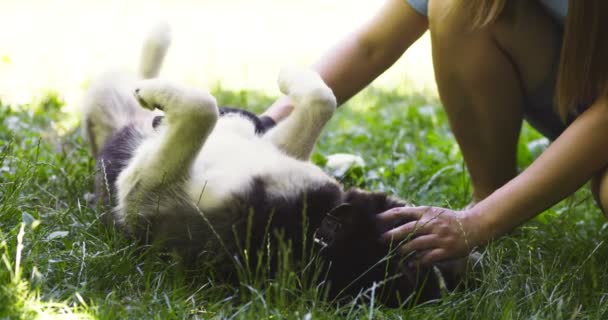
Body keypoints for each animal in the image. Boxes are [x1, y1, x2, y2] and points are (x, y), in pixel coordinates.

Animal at [83, 23, 466, 306]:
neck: (312, 226)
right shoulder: (274, 145)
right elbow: (322, 100)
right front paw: (290, 77)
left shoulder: (143, 192)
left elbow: (202, 108)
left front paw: (158, 94)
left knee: (138, 82)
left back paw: (152, 66)